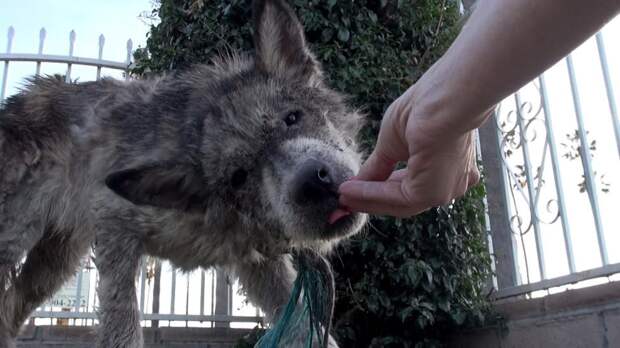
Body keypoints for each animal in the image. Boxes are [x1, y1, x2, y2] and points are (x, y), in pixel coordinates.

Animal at [0, 0, 368, 348]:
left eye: (292, 118)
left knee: (10, 307)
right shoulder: (115, 228)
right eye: (238, 177)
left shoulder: (261, 266)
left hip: (55, 263)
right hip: (15, 242)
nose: (312, 184)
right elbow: (123, 325)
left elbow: (308, 326)